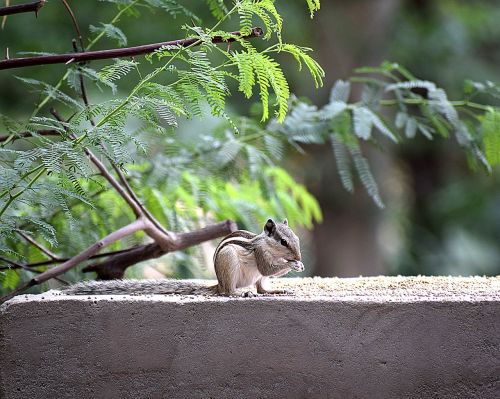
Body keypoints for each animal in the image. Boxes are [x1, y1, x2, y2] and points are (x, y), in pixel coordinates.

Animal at [62, 219, 304, 296]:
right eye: (283, 242)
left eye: (297, 238)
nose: (298, 256)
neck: (267, 244)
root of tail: (218, 282)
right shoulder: (261, 253)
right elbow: (267, 268)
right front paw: (293, 264)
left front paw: (298, 263)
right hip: (229, 265)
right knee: (227, 292)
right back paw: (239, 292)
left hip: (257, 280)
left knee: (261, 288)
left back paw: (274, 291)